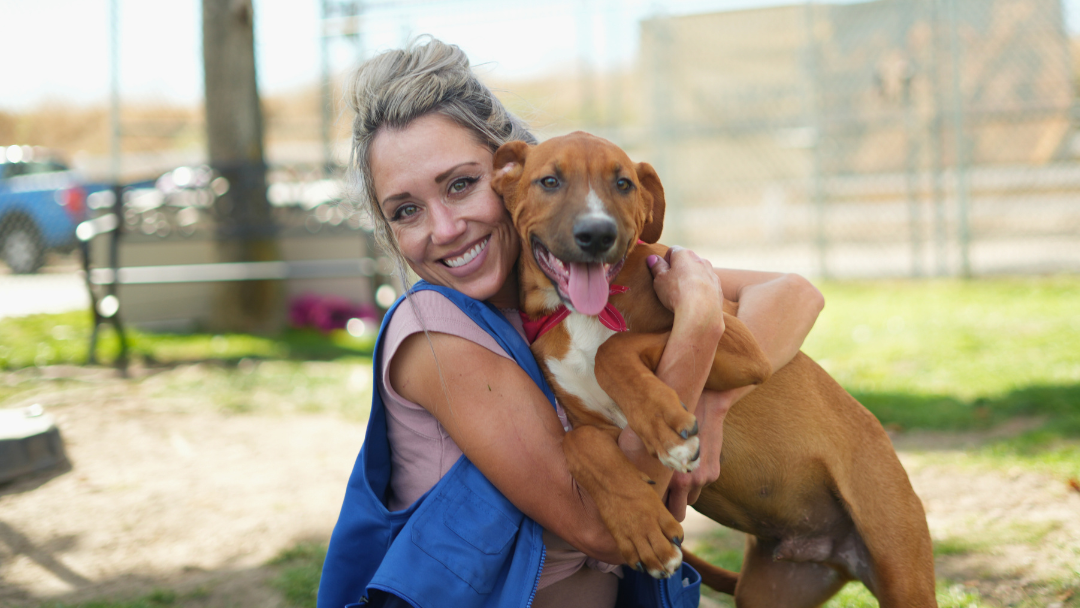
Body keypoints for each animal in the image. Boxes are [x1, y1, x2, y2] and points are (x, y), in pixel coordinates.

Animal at [492, 133, 937, 608]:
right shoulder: (597, 428)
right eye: (550, 181)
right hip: (770, 592)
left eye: (623, 183)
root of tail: (834, 554)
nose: (597, 234)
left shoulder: (738, 344)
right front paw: (642, 527)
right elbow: (579, 445)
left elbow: (612, 348)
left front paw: (667, 429)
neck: (575, 311)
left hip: (901, 567)